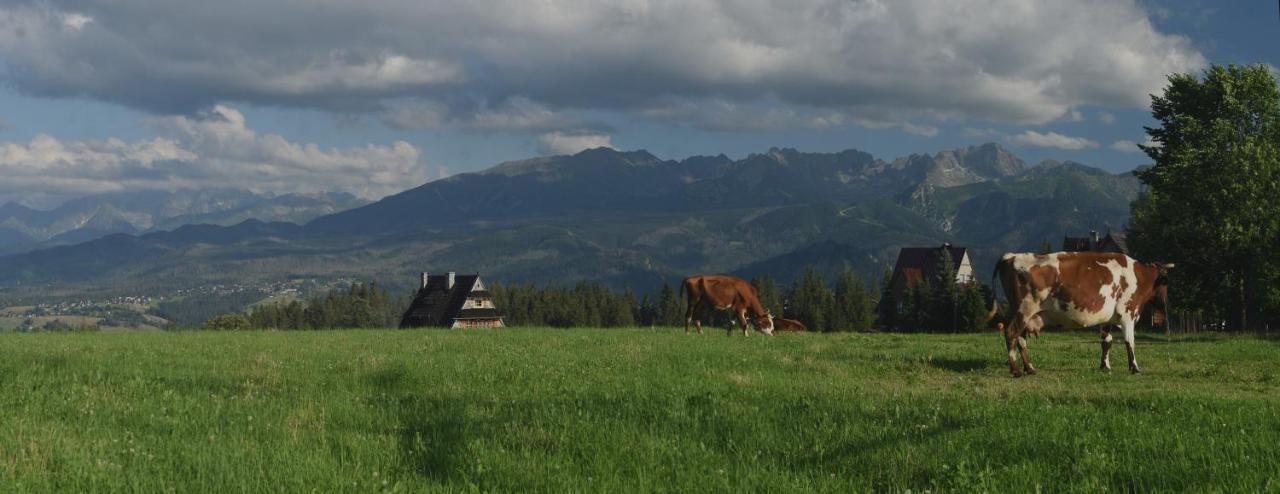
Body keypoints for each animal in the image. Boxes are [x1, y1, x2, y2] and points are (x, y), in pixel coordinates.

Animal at [988, 253, 1172, 376]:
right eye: (1165, 284)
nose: (1164, 303)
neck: (1139, 276)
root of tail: (1011, 256)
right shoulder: (1128, 312)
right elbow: (1130, 342)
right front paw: (1134, 368)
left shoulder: (1107, 317)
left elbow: (1107, 341)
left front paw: (1105, 366)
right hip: (1024, 309)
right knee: (1011, 333)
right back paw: (1016, 370)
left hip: (1023, 314)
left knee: (1020, 338)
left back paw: (1030, 368)